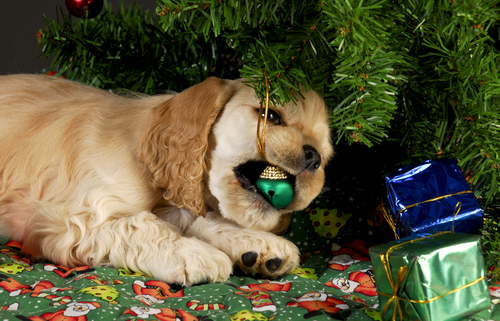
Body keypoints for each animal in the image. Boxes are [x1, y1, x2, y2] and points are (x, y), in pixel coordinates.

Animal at [0, 75, 336, 284]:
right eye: (271, 115)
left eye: (325, 152)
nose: (313, 157)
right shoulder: (64, 221)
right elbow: (140, 225)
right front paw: (194, 254)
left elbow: (195, 218)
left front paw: (258, 244)